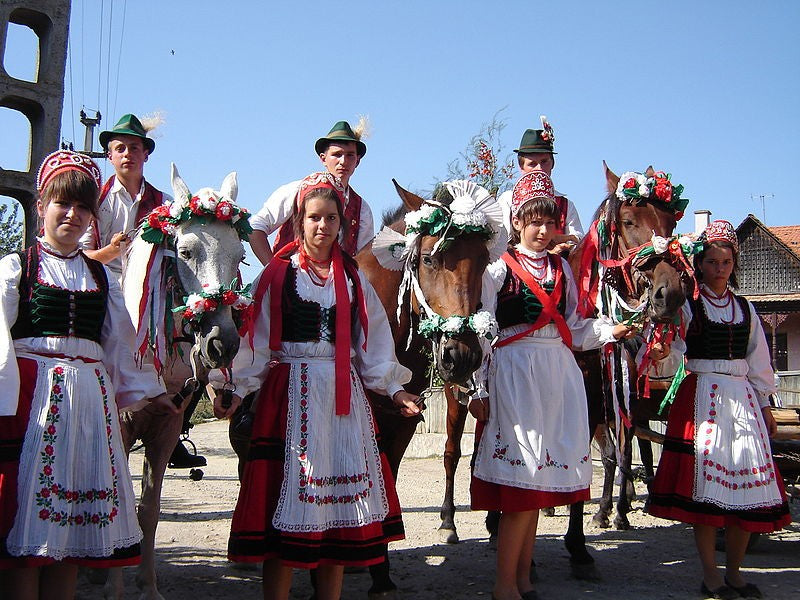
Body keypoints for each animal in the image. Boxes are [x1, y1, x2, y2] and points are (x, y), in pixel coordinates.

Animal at [101, 164, 250, 600]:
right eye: (185, 252)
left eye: (240, 255)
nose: (222, 343)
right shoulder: (117, 429)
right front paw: (115, 586)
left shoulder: (164, 430)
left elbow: (147, 512)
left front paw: (148, 585)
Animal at [358, 178, 500, 596]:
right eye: (428, 259)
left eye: (483, 261)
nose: (462, 354)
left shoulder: (403, 419)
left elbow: (387, 478)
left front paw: (380, 570)